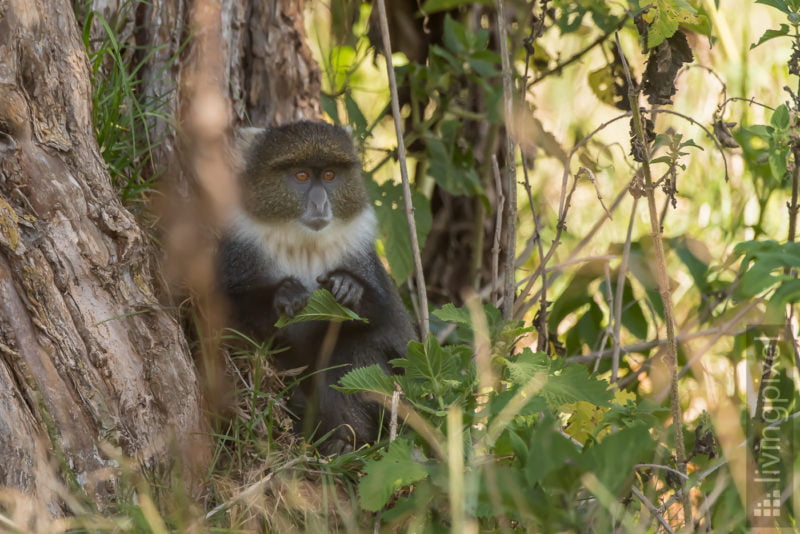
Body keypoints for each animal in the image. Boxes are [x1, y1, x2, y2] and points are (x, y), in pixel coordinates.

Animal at [216, 122, 416, 456]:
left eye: (330, 175)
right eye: (301, 176)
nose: (321, 203)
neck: (303, 242)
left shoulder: (361, 255)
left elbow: (383, 315)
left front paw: (349, 288)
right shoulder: (239, 249)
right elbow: (228, 308)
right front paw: (283, 295)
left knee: (352, 349)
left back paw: (345, 440)